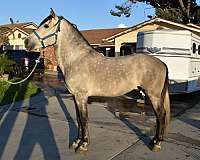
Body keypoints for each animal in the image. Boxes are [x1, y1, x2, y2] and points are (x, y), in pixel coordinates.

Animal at [24, 8, 170, 152]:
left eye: (46, 25)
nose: (26, 42)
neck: (76, 59)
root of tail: (162, 63)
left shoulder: (81, 96)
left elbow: (84, 119)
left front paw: (83, 144)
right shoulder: (76, 96)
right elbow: (78, 119)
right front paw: (76, 142)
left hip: (153, 95)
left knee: (160, 115)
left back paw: (156, 143)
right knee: (159, 116)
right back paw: (155, 141)